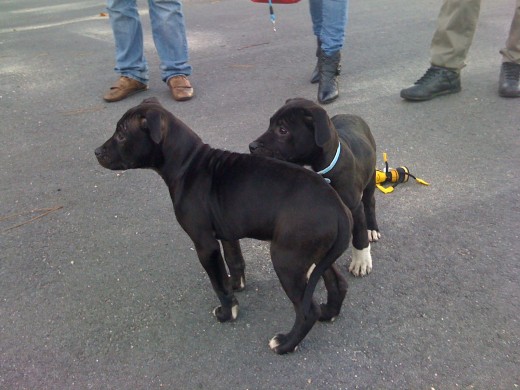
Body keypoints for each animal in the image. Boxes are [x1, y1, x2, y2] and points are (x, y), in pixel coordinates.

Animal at [94, 97, 354, 354]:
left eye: (121, 135)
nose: (96, 151)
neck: (187, 163)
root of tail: (338, 208)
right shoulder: (228, 232)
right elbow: (234, 261)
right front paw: (235, 285)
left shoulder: (204, 244)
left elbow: (217, 283)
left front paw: (227, 312)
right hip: (315, 255)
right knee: (337, 283)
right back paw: (329, 313)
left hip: (287, 259)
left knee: (307, 311)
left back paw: (285, 344)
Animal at [250, 97, 380, 278]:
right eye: (270, 125)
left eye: (282, 130)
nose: (251, 146)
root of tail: (351, 115)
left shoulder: (355, 207)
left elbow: (359, 237)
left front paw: (361, 262)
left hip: (370, 180)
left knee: (370, 203)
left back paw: (372, 228)